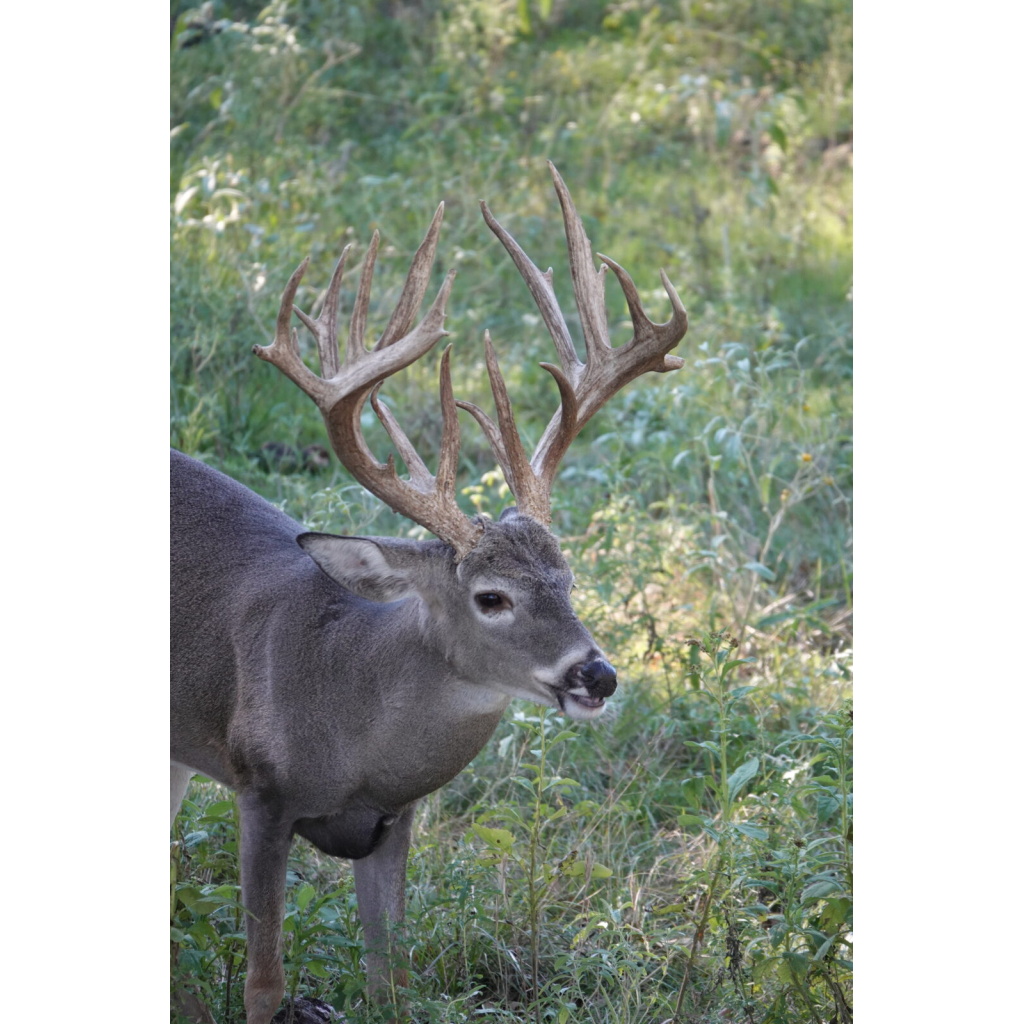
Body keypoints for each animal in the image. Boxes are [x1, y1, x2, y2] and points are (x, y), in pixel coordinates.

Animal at [170, 163, 688, 1024]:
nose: (598, 674)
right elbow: (263, 983)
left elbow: (393, 979)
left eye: (567, 578)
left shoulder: (395, 819)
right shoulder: (259, 791)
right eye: (491, 598)